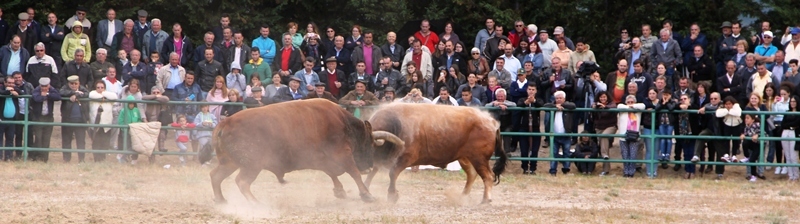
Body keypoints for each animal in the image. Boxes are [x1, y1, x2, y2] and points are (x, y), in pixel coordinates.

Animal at [205, 99, 404, 204]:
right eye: (370, 145)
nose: (369, 166)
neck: (343, 123)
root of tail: (225, 123)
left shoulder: (324, 159)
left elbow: (333, 173)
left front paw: (340, 191)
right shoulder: (343, 155)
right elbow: (353, 173)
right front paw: (367, 195)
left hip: (229, 163)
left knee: (215, 176)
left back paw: (221, 200)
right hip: (252, 165)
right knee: (242, 182)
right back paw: (256, 202)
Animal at [362, 102, 506, 204]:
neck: (395, 124)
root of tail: (491, 121)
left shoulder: (405, 158)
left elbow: (392, 173)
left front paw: (392, 195)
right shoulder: (379, 160)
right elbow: (372, 173)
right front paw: (366, 191)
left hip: (479, 158)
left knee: (487, 176)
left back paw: (486, 199)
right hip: (465, 158)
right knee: (472, 174)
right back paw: (463, 196)